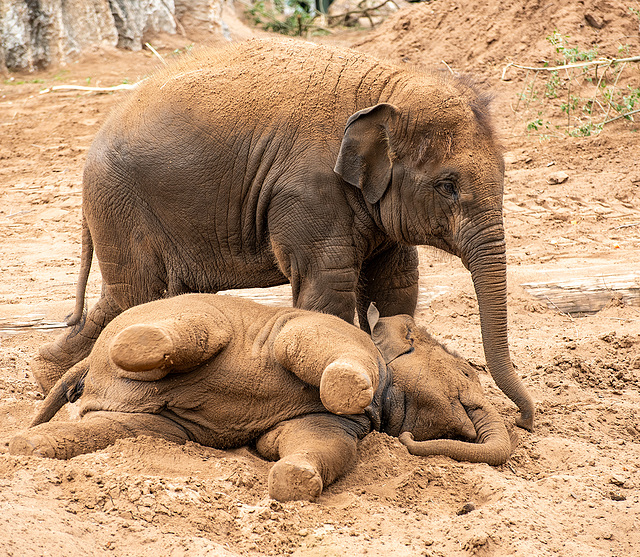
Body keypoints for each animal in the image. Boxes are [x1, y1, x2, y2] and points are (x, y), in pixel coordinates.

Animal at [10, 294, 512, 502]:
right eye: (468, 371)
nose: (407, 442)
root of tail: (90, 369)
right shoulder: (330, 331)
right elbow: (302, 345)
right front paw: (348, 389)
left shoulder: (336, 424)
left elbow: (319, 438)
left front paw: (294, 481)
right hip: (184, 316)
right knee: (196, 330)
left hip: (141, 421)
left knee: (122, 429)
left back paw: (27, 446)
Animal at [36, 38, 536, 430]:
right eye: (447, 186)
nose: (526, 421)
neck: (388, 86)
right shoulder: (308, 196)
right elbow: (329, 291)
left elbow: (396, 284)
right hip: (120, 205)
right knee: (131, 294)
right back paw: (49, 378)